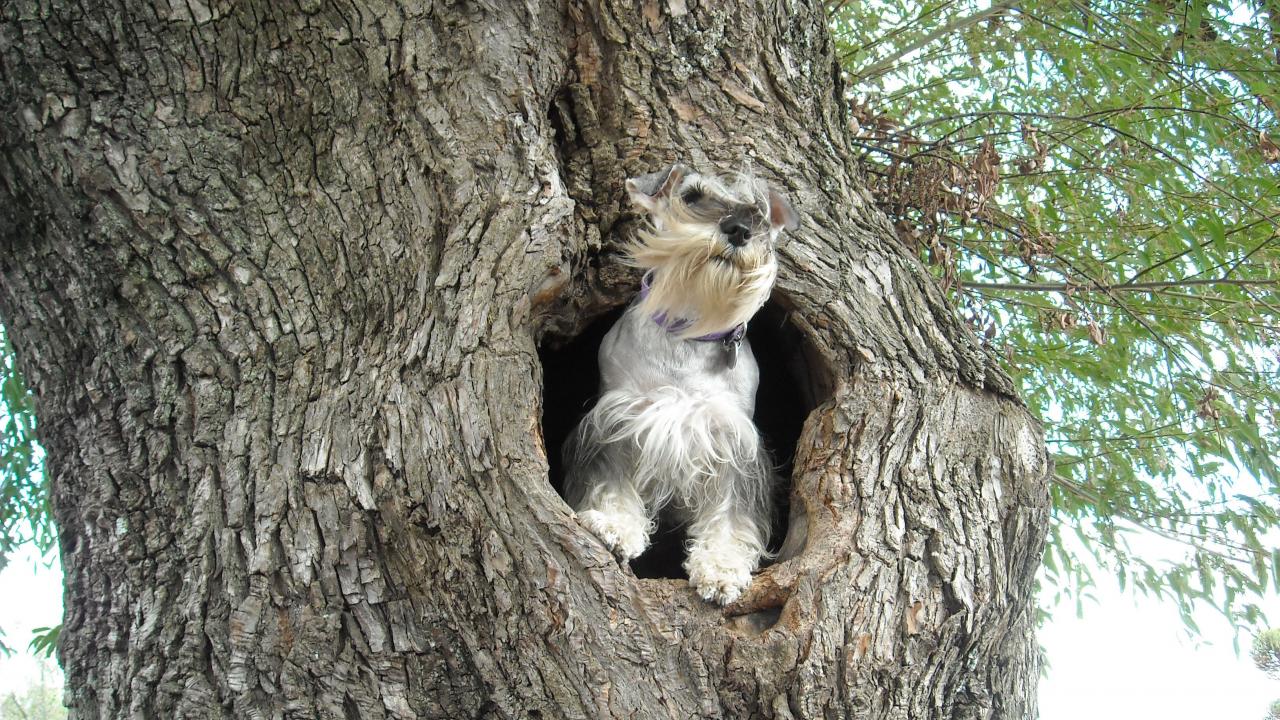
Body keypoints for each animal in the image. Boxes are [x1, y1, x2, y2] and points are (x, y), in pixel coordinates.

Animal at [563, 164, 798, 605]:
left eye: (759, 210)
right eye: (691, 196)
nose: (740, 229)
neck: (690, 331)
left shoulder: (733, 440)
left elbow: (732, 510)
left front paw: (721, 566)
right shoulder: (615, 422)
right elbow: (610, 481)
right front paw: (616, 526)